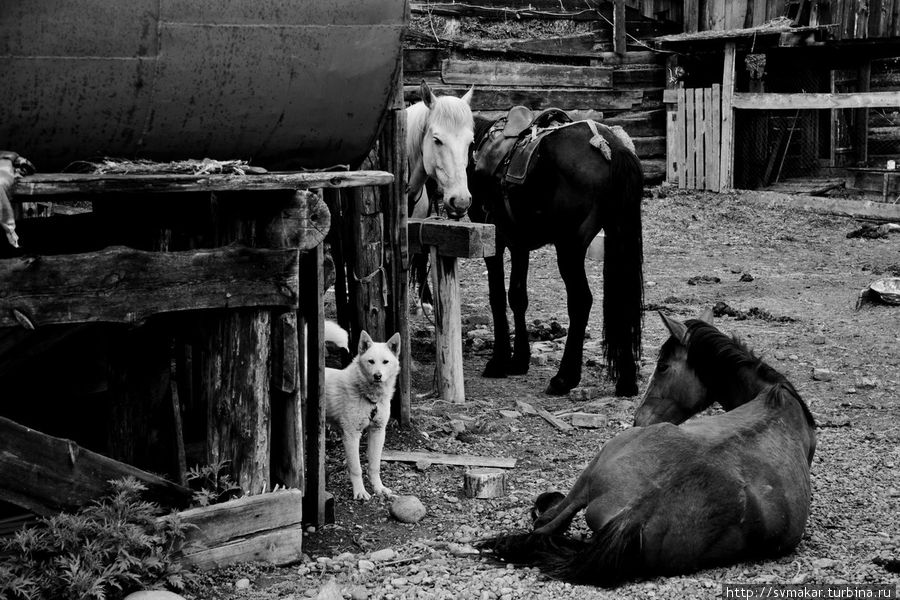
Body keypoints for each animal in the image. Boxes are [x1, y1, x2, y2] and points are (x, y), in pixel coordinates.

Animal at [324, 326, 400, 500]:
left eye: (385, 362)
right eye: (371, 361)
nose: (377, 376)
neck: (371, 399)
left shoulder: (378, 432)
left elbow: (374, 466)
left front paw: (379, 488)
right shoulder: (351, 435)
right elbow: (356, 468)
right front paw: (360, 492)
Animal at [482, 312, 820, 588]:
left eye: (663, 366)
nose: (639, 418)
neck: (777, 398)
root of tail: (637, 510)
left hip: (589, 476)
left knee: (546, 525)